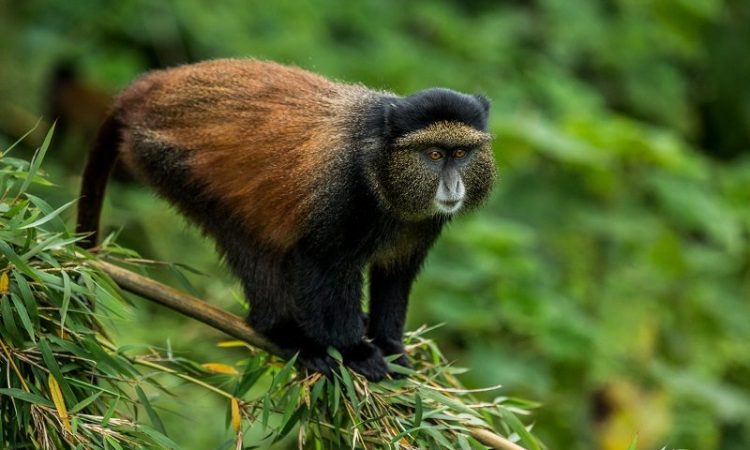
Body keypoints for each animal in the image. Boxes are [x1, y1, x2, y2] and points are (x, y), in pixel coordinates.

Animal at [76, 59, 496, 381]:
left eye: (461, 153)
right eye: (434, 155)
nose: (453, 186)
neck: (380, 164)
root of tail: (147, 89)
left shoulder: (419, 227)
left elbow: (395, 275)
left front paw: (391, 347)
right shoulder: (342, 198)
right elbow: (320, 265)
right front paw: (354, 352)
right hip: (170, 162)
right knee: (250, 244)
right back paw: (285, 332)